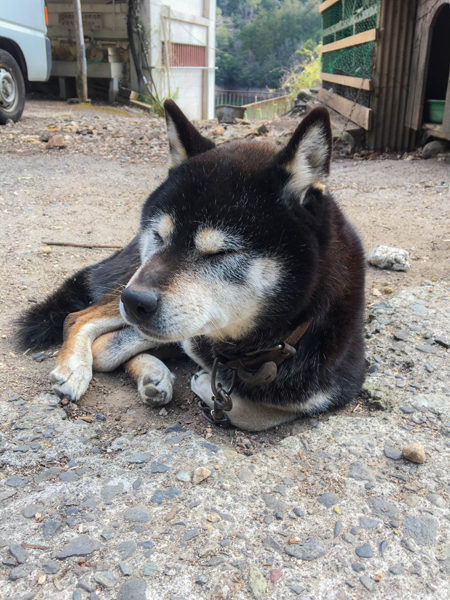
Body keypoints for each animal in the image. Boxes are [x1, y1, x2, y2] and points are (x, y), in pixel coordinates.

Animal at [16, 102, 366, 432]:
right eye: (158, 235)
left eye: (220, 252)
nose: (135, 301)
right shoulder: (188, 332)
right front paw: (206, 385)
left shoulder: (337, 386)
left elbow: (261, 414)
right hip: (133, 281)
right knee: (80, 321)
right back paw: (77, 368)